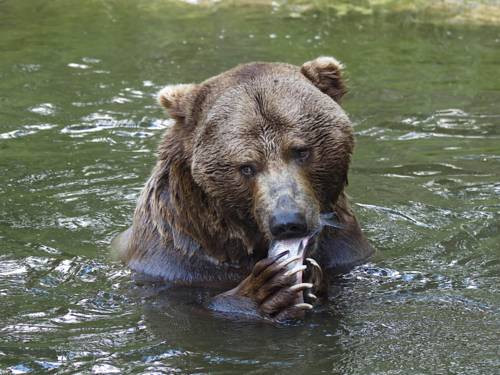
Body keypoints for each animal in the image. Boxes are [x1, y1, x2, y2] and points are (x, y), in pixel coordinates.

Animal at [115, 57, 374, 322]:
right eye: (247, 167)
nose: (288, 222)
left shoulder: (344, 250)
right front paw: (267, 290)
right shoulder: (177, 263)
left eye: (301, 151)